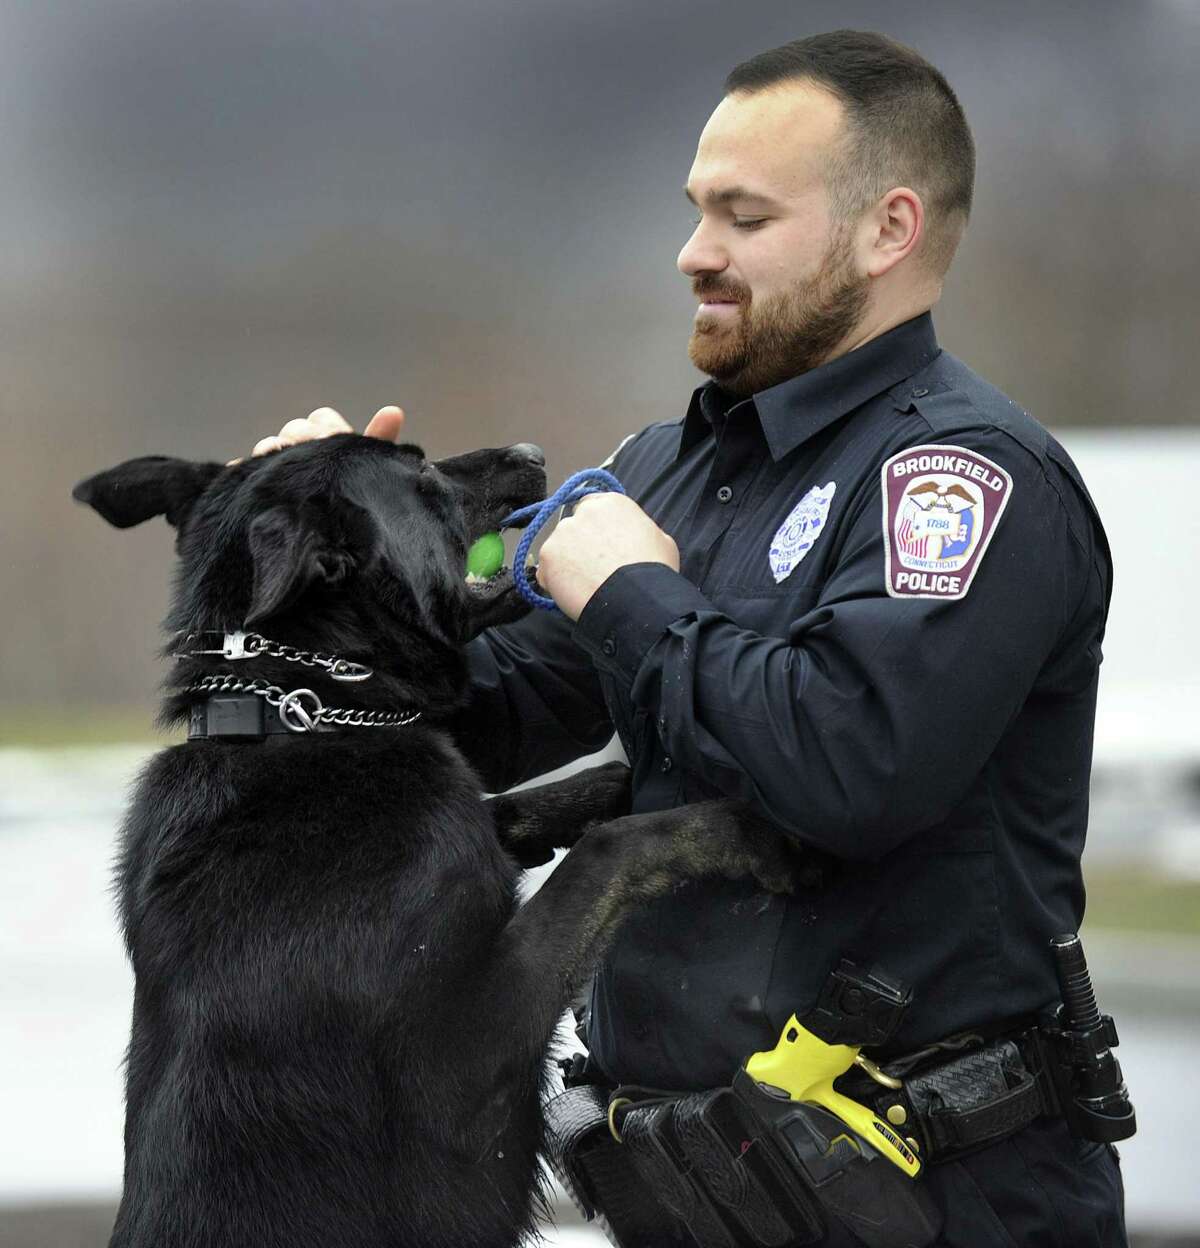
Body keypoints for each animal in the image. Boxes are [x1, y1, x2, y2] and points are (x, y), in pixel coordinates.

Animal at [70, 434, 788, 1243]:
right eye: (417, 471)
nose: (531, 451)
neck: (300, 715)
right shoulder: (464, 1055)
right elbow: (605, 855)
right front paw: (738, 829)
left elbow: (511, 813)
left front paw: (614, 786)